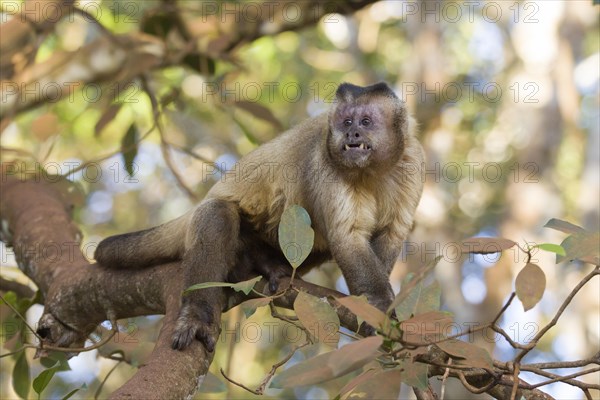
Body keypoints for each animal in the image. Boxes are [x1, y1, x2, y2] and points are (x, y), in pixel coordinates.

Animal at [95, 83, 422, 352]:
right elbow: (347, 238)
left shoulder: (413, 162)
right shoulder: (325, 162)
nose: (352, 134)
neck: (372, 171)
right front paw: (377, 306)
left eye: (365, 122)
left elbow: (391, 235)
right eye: (346, 122)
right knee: (218, 213)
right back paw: (202, 311)